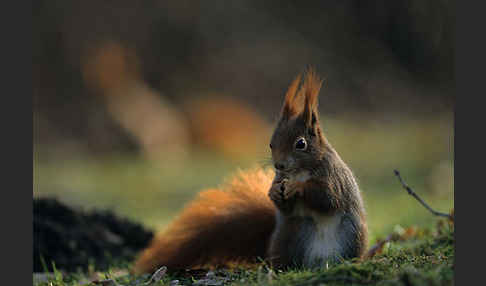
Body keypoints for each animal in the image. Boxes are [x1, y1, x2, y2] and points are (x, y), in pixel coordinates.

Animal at [133, 68, 368, 274]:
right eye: (271, 144)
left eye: (301, 144)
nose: (279, 166)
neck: (301, 170)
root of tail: (320, 264)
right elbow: (287, 207)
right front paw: (273, 192)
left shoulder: (334, 177)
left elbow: (329, 198)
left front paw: (297, 187)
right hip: (291, 233)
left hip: (351, 234)